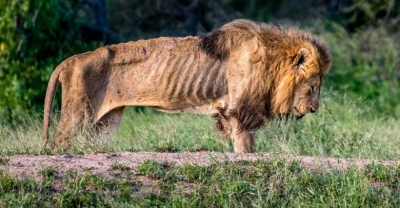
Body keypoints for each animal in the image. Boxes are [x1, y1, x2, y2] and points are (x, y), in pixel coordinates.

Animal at [43, 19, 332, 153]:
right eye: (312, 86)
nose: (314, 109)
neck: (273, 63)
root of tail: (71, 60)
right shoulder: (239, 112)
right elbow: (246, 147)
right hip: (78, 114)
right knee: (58, 143)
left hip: (105, 122)